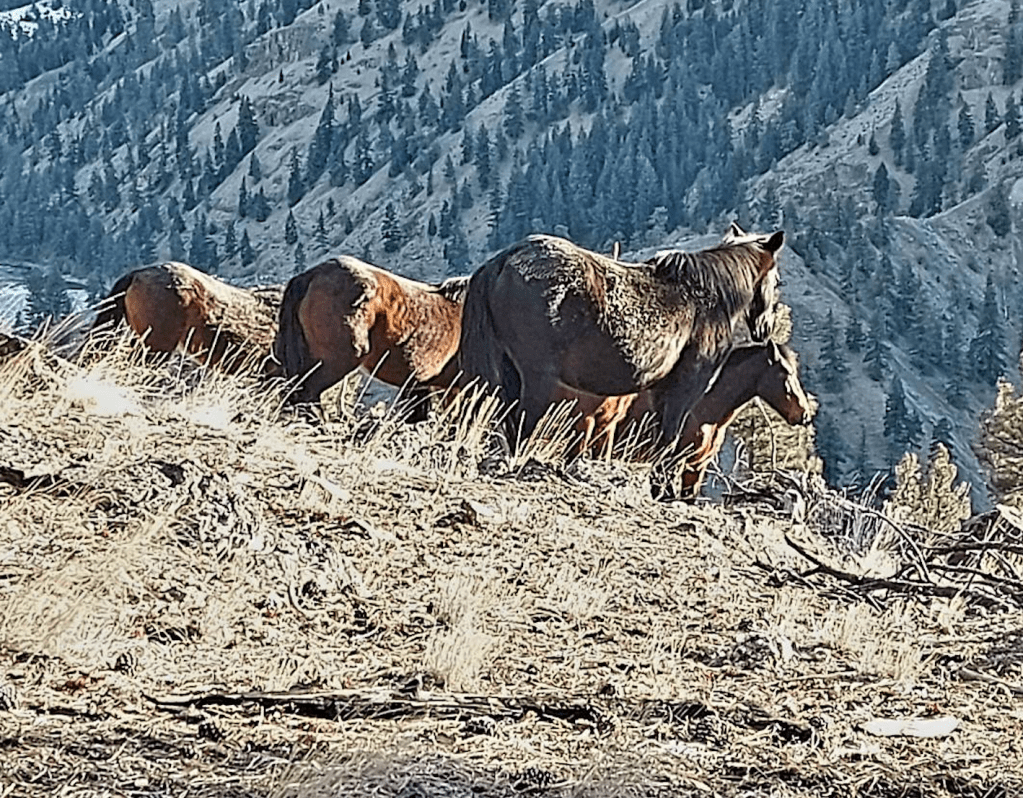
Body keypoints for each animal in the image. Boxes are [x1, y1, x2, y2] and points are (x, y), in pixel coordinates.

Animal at [457, 224, 784, 450]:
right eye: (777, 280)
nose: (765, 329)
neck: (707, 297)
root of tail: (505, 259)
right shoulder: (686, 386)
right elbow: (668, 442)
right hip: (537, 378)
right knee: (522, 424)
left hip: (510, 373)